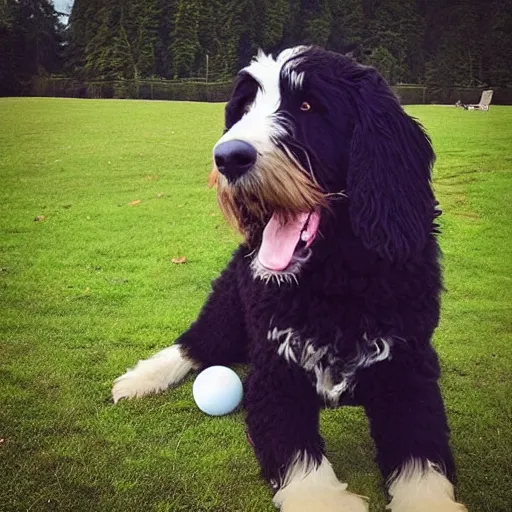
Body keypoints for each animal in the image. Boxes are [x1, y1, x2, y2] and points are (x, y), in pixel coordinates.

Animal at [112, 48, 468, 512]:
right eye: (244, 108)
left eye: (308, 106)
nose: (227, 158)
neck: (334, 282)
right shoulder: (274, 375)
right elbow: (297, 454)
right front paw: (324, 497)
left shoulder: (409, 372)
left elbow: (423, 462)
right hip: (229, 305)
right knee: (195, 343)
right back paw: (140, 380)